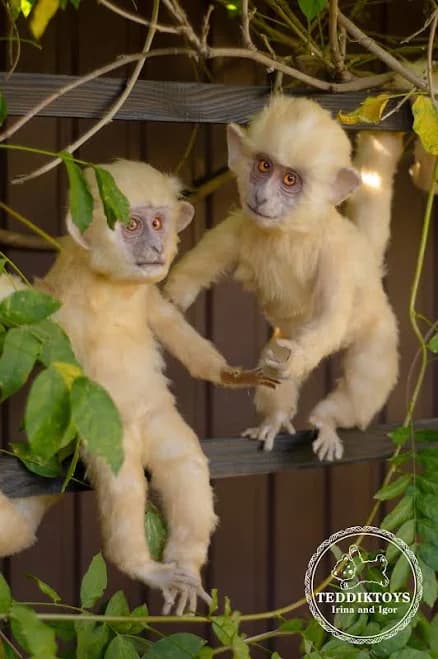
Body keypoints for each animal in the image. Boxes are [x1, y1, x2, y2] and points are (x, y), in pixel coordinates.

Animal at [0, 159, 278, 615]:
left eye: (158, 223)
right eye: (131, 225)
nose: (155, 246)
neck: (111, 288)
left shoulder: (147, 298)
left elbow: (171, 326)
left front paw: (233, 376)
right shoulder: (52, 304)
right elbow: (13, 296)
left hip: (156, 418)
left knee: (184, 462)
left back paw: (186, 564)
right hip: (106, 432)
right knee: (123, 482)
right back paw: (140, 564)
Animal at [165, 95, 402, 461]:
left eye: (290, 180)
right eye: (264, 166)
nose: (261, 197)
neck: (290, 233)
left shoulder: (335, 257)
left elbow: (331, 316)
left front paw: (301, 358)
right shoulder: (244, 225)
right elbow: (207, 258)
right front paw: (175, 296)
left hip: (376, 327)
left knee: (366, 380)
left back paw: (328, 420)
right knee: (273, 361)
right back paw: (275, 418)